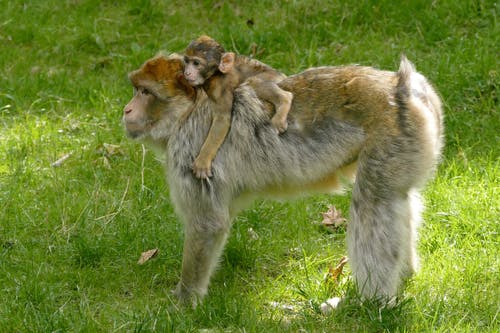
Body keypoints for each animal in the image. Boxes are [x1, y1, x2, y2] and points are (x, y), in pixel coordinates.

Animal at [123, 53, 444, 306]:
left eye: (145, 92)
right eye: (136, 89)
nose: (126, 109)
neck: (187, 112)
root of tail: (404, 85)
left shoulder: (189, 152)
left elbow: (207, 223)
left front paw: (184, 302)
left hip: (390, 138)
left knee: (373, 206)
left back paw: (371, 303)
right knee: (397, 199)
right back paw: (405, 275)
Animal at [184, 35, 292, 178]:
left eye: (196, 63)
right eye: (186, 61)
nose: (187, 73)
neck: (214, 75)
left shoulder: (221, 88)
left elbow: (222, 120)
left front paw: (203, 160)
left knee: (254, 82)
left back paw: (284, 100)